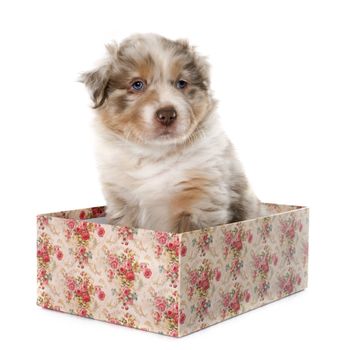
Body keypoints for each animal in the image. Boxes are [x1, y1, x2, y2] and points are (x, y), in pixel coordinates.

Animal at [80, 33, 260, 232]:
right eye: (137, 85)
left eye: (181, 83)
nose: (167, 115)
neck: (154, 154)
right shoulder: (122, 203)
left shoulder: (199, 202)